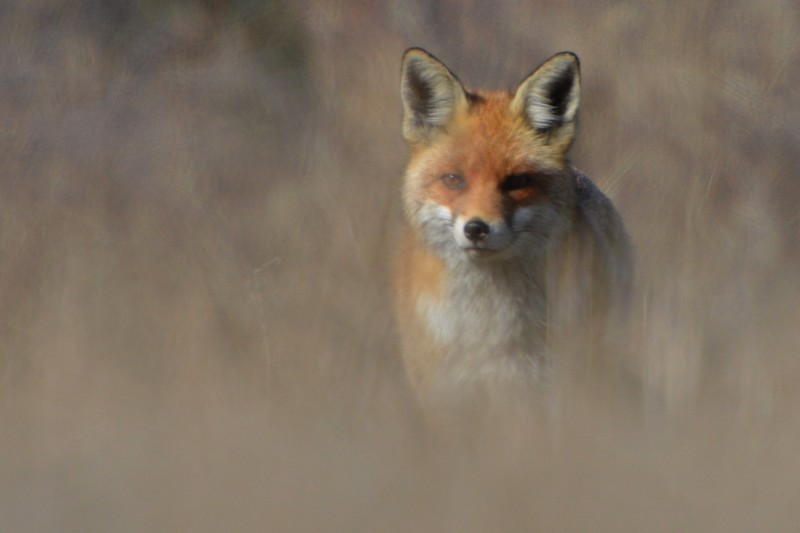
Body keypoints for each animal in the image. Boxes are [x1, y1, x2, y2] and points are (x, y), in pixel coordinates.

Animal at [394, 48, 633, 403]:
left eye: (517, 182)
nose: (476, 229)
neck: (487, 325)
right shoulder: (442, 396)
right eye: (453, 180)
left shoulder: (551, 392)